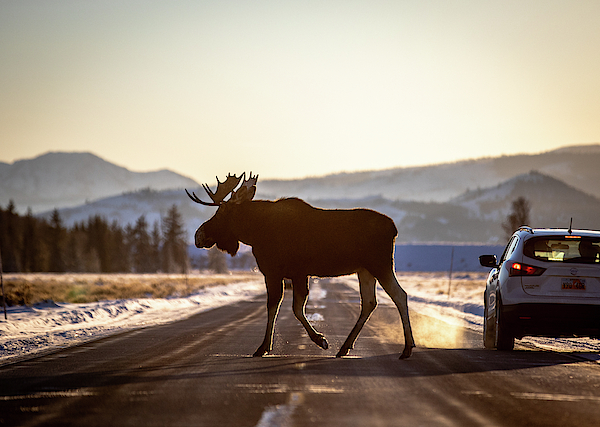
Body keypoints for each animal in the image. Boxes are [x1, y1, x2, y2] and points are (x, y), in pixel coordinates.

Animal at [185, 172, 414, 360]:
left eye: (222, 212)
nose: (198, 235)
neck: (254, 232)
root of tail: (394, 229)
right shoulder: (291, 273)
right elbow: (289, 307)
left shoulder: (282, 272)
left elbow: (285, 307)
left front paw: (271, 346)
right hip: (365, 269)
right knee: (369, 302)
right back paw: (345, 347)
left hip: (380, 264)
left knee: (399, 295)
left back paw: (407, 348)